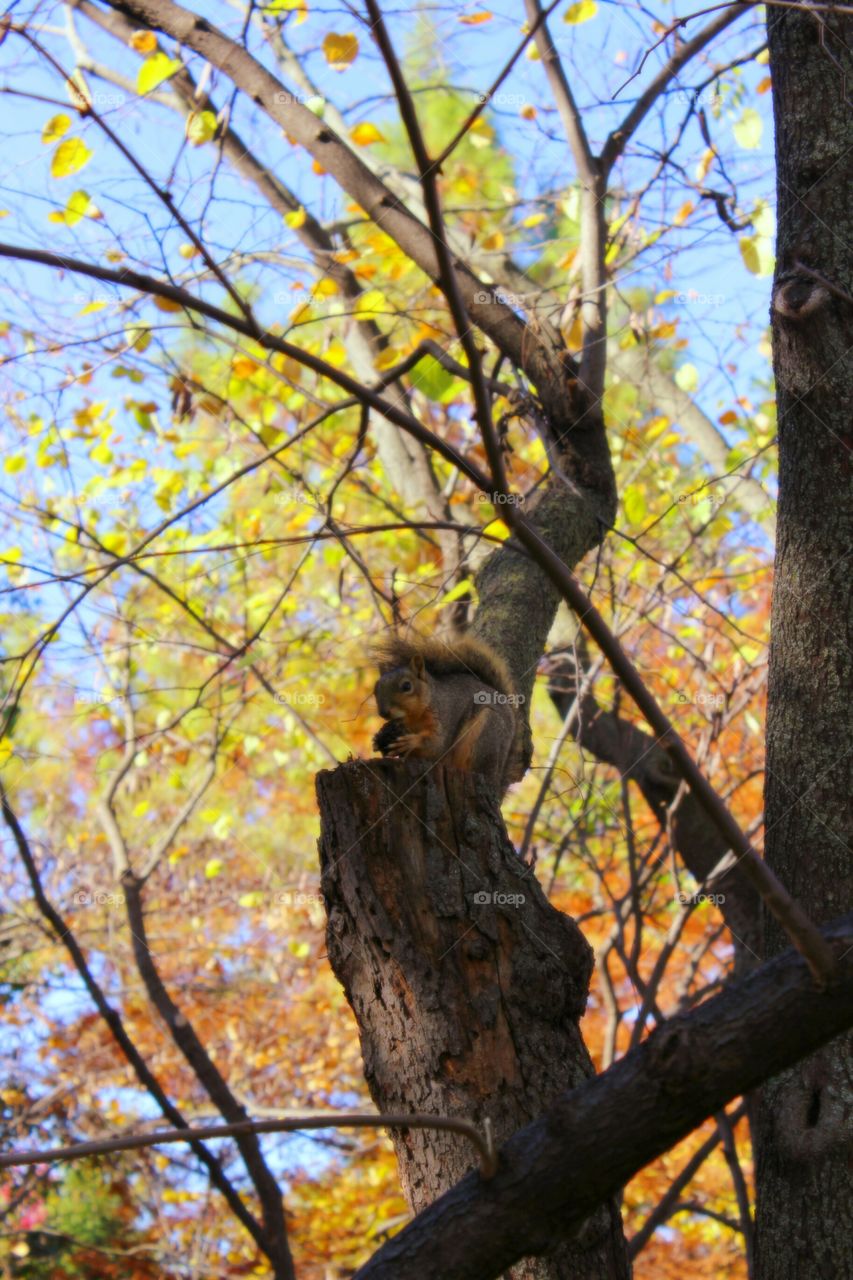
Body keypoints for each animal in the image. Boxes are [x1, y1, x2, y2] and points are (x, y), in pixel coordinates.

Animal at [371, 627, 525, 793]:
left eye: (407, 686)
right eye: (375, 689)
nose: (383, 712)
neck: (414, 716)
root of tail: (497, 779)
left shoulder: (444, 715)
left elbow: (437, 744)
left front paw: (410, 742)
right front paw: (378, 741)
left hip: (487, 733)